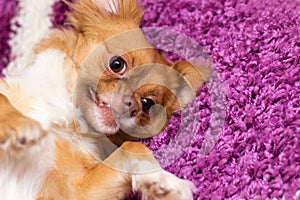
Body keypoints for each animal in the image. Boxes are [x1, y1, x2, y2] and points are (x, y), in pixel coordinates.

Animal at [0, 0, 211, 198]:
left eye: (147, 103)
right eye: (116, 64)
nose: (132, 105)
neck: (67, 118)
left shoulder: (73, 189)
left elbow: (132, 146)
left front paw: (164, 179)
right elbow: (3, 99)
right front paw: (18, 124)